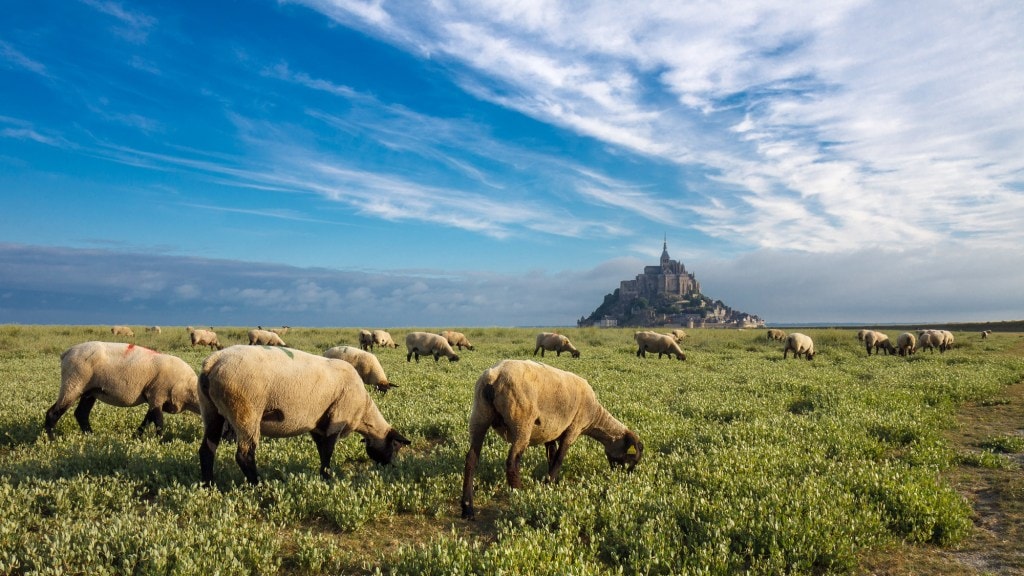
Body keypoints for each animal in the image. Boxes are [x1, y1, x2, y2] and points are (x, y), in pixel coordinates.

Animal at [44, 338, 199, 436]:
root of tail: (67, 352)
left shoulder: (154, 400)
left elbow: (147, 420)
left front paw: (136, 436)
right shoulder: (157, 395)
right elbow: (159, 422)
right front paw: (161, 441)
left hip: (89, 391)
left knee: (81, 414)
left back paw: (91, 436)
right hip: (73, 384)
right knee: (53, 413)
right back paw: (51, 439)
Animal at [196, 342, 411, 481]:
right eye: (396, 446)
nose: (392, 467)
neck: (363, 410)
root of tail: (212, 363)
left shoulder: (318, 425)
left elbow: (322, 450)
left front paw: (323, 476)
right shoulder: (337, 419)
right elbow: (328, 450)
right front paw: (328, 477)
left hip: (211, 411)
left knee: (207, 450)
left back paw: (209, 485)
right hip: (245, 412)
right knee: (244, 455)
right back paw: (258, 485)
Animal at [462, 356, 643, 518]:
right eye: (632, 459)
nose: (624, 478)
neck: (595, 416)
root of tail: (494, 375)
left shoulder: (550, 431)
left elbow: (551, 455)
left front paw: (551, 482)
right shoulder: (573, 429)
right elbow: (559, 458)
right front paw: (549, 486)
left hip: (479, 416)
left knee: (471, 459)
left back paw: (468, 509)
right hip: (522, 422)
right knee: (512, 462)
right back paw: (520, 499)